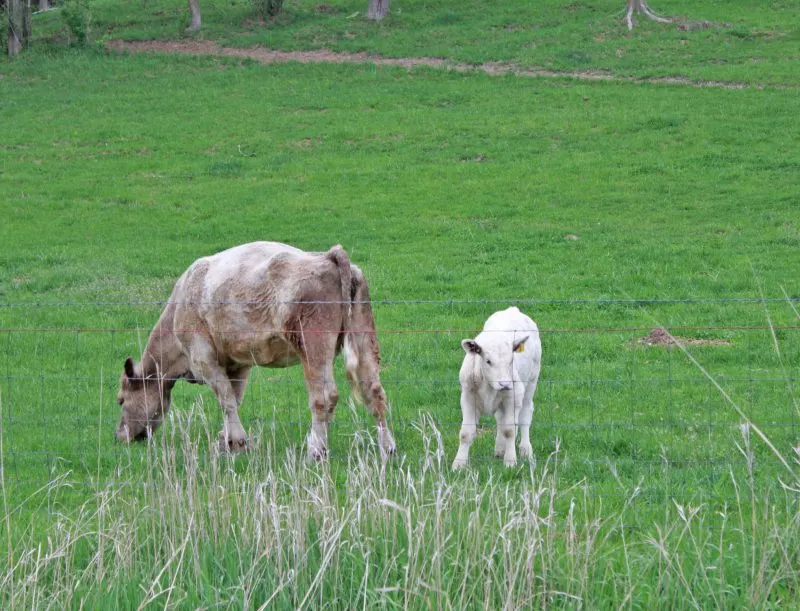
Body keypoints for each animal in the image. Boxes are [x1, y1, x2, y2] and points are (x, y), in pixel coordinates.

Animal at [115, 241, 396, 462]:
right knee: (374, 391)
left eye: (121, 400)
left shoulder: (203, 357)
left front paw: (238, 443)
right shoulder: (239, 363)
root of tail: (327, 255)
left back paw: (315, 450)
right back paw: (388, 448)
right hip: (364, 335)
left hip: (314, 345)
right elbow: (233, 399)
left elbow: (226, 399)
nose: (119, 437)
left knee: (324, 397)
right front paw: (226, 441)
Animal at [454, 308, 540, 470]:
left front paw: (510, 461)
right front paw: (459, 464)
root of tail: (512, 309)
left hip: (531, 380)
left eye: (511, 360)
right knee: (500, 419)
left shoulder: (514, 395)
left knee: (525, 415)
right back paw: (500, 449)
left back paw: (525, 450)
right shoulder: (467, 397)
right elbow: (466, 433)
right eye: (488, 361)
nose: (504, 384)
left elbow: (510, 430)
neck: (488, 386)